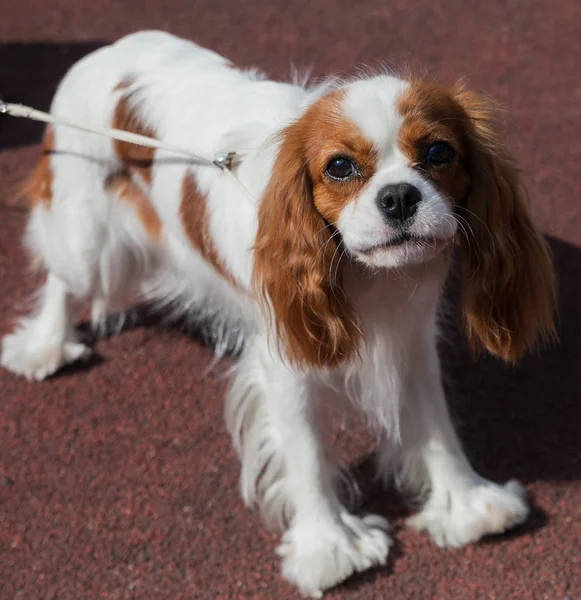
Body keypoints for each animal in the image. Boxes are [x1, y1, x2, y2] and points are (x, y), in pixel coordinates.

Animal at [0, 31, 556, 596]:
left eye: (439, 152)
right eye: (339, 167)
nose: (399, 195)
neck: (365, 275)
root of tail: (111, 48)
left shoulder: (410, 338)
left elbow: (436, 426)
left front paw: (467, 505)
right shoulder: (287, 361)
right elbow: (306, 453)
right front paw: (328, 547)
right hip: (85, 235)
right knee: (61, 278)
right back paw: (45, 346)